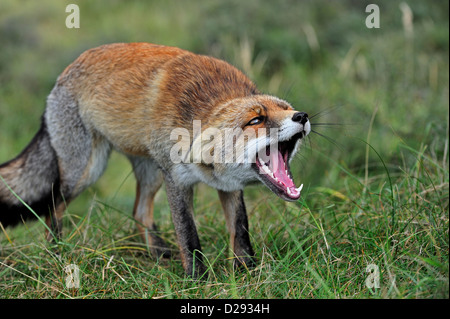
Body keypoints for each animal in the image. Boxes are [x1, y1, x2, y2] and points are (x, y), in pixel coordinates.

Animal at [0, 42, 310, 278]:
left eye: (286, 108)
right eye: (256, 120)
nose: (302, 115)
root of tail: (63, 75)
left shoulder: (229, 185)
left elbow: (240, 230)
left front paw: (247, 271)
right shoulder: (176, 179)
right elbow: (188, 234)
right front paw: (197, 279)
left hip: (149, 172)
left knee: (139, 212)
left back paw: (157, 253)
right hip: (86, 171)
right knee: (53, 207)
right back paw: (56, 252)